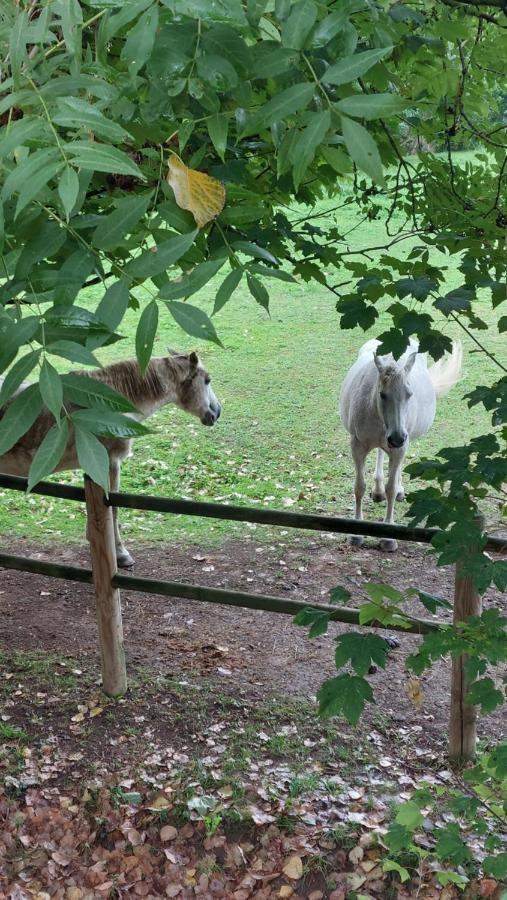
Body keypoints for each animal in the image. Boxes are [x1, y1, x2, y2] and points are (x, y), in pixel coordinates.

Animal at [340, 338, 462, 548]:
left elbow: (391, 488)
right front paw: (356, 533)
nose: (396, 437)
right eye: (382, 394)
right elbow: (359, 486)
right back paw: (377, 491)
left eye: (409, 394)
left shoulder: (399, 448)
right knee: (381, 452)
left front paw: (388, 537)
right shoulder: (358, 446)